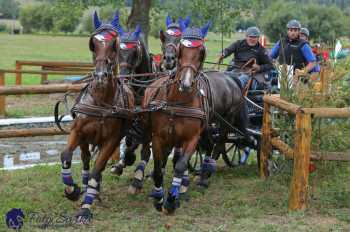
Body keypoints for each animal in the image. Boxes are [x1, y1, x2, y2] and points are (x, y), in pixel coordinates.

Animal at [59, 11, 133, 223]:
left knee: (97, 169)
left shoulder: (111, 141)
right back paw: (83, 188)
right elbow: (66, 156)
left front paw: (85, 208)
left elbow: (96, 170)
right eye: (93, 43)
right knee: (85, 160)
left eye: (114, 44)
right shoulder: (78, 132)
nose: (100, 76)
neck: (101, 102)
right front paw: (72, 190)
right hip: (86, 140)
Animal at [142, 24, 252, 214]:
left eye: (201, 52)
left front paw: (172, 199)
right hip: (208, 126)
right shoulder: (158, 137)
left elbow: (180, 165)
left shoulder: (191, 138)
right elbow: (158, 168)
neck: (177, 101)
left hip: (226, 120)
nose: (185, 83)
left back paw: (205, 176)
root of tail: (232, 78)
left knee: (219, 144)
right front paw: (158, 196)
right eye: (181, 49)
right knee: (209, 145)